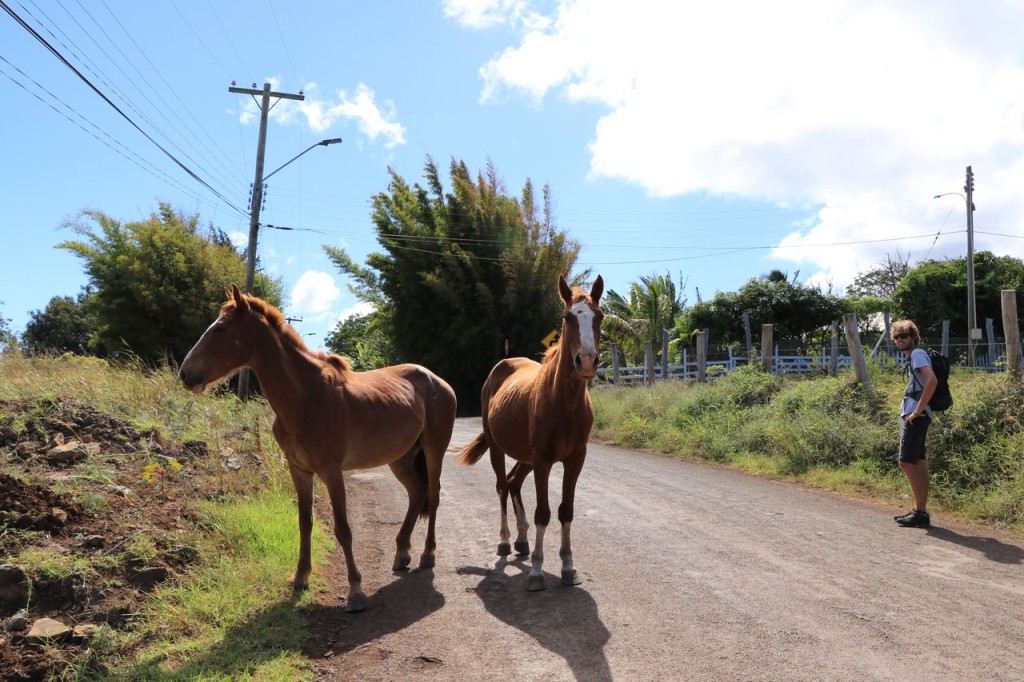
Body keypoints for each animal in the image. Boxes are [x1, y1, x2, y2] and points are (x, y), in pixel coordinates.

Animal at [179, 285, 457, 612]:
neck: (306, 398)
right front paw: (300, 577)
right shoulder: (299, 470)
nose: (185, 374)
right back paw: (401, 553)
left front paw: (355, 591)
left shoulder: (332, 472)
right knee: (416, 495)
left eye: (221, 328)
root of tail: (438, 381)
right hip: (400, 458)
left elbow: (343, 529)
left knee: (432, 495)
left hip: (434, 450)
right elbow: (305, 522)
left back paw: (427, 554)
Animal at [456, 274, 603, 591]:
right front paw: (537, 571)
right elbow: (543, 513)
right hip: (501, 450)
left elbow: (565, 511)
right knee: (502, 486)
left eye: (599, 316)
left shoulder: (575, 459)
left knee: (513, 482)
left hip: (526, 457)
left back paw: (522, 541)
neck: (564, 402)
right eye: (568, 317)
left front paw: (568, 567)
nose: (586, 361)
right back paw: (505, 541)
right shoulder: (543, 460)